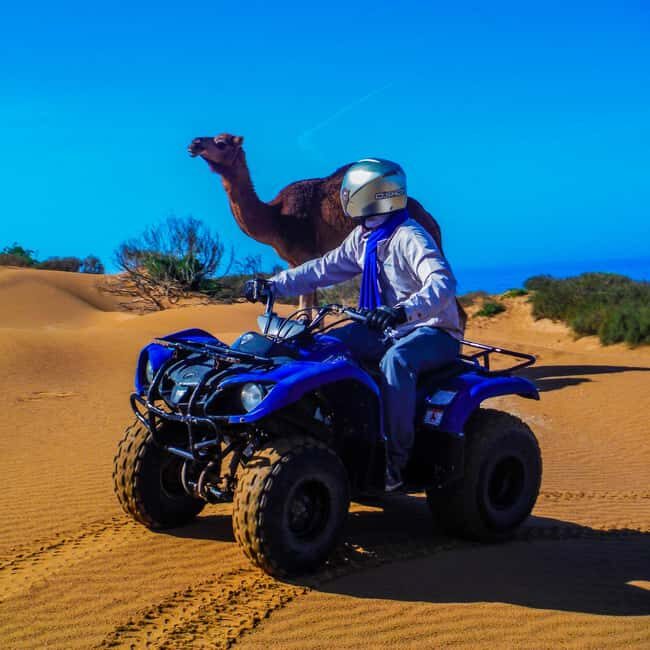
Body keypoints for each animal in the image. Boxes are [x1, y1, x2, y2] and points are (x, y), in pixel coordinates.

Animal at [188, 133, 465, 327]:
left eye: (221, 142)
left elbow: (307, 316)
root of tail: (432, 220)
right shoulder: (295, 261)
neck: (276, 218)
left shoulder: (306, 254)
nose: (194, 143)